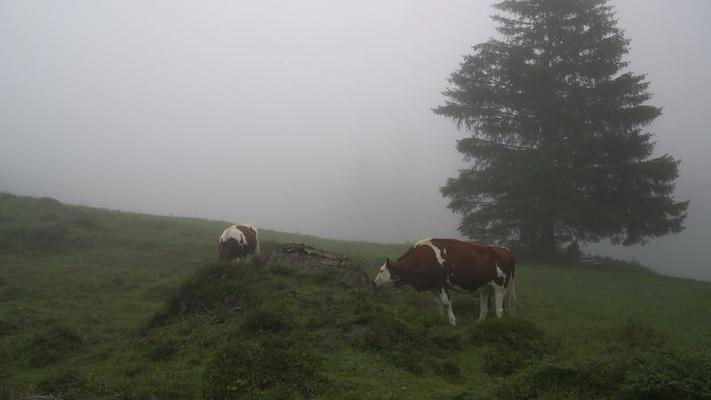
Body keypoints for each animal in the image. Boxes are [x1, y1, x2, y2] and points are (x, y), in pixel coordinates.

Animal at [372, 238, 516, 324]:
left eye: (381, 270)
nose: (374, 282)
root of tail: (507, 250)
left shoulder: (441, 283)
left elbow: (446, 303)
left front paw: (452, 321)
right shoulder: (433, 286)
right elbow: (439, 304)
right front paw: (440, 319)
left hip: (500, 286)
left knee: (499, 309)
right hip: (485, 288)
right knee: (485, 308)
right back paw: (479, 324)